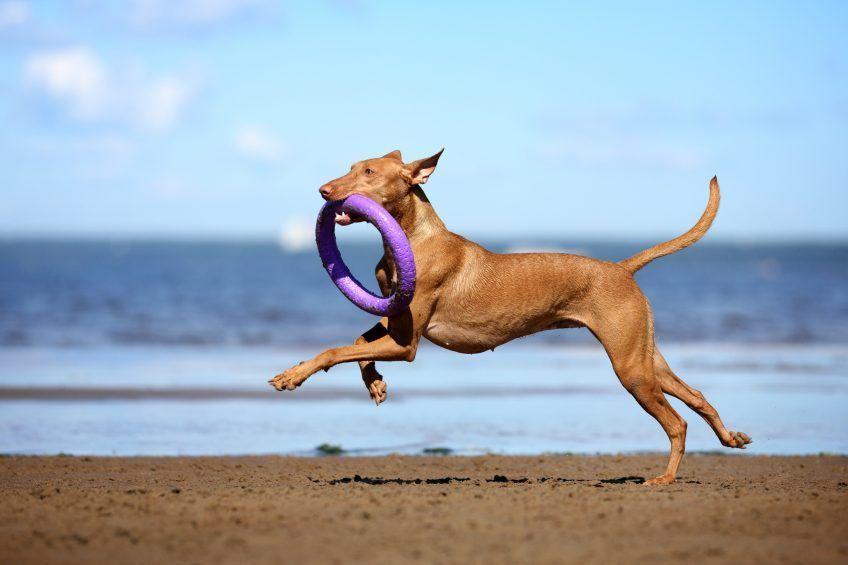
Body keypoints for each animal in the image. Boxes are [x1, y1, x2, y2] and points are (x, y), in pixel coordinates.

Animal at [268, 150, 752, 484]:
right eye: (351, 166)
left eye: (368, 173)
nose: (324, 191)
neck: (413, 239)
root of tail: (620, 268)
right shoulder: (394, 321)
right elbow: (356, 344)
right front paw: (374, 384)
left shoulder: (407, 344)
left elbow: (335, 350)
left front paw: (293, 376)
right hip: (647, 359)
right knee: (697, 397)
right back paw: (730, 438)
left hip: (631, 368)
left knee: (677, 422)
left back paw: (666, 478)